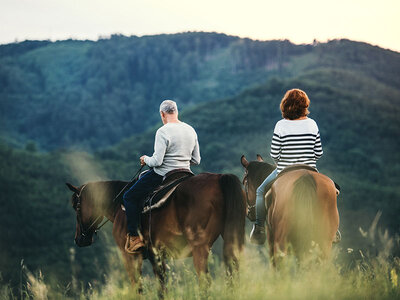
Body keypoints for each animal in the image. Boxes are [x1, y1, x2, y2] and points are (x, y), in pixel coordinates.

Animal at [67, 172, 245, 292]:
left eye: (76, 206)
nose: (78, 239)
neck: (119, 206)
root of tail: (219, 178)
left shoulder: (130, 257)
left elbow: (138, 288)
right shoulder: (156, 257)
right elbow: (162, 288)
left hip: (199, 247)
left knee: (205, 281)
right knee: (233, 274)